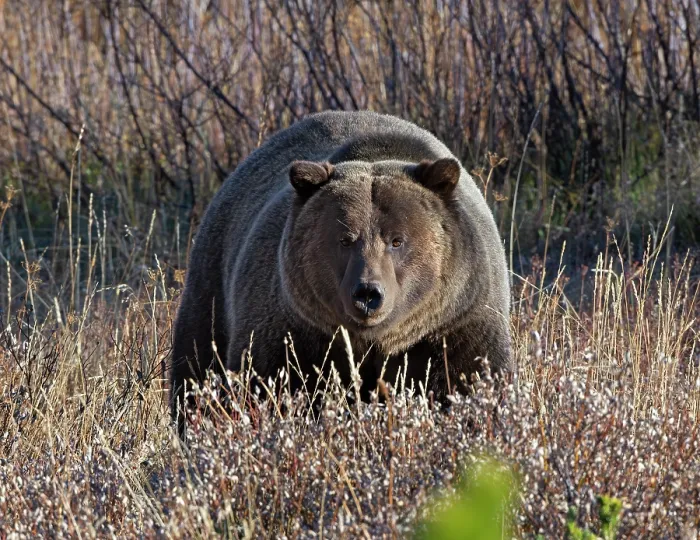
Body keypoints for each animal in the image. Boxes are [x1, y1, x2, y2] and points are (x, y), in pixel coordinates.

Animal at [170, 110, 511, 430]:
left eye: (397, 240)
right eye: (345, 239)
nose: (368, 293)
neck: (374, 341)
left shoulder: (454, 324)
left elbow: (469, 383)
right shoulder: (294, 330)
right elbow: (267, 385)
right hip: (212, 286)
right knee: (195, 368)